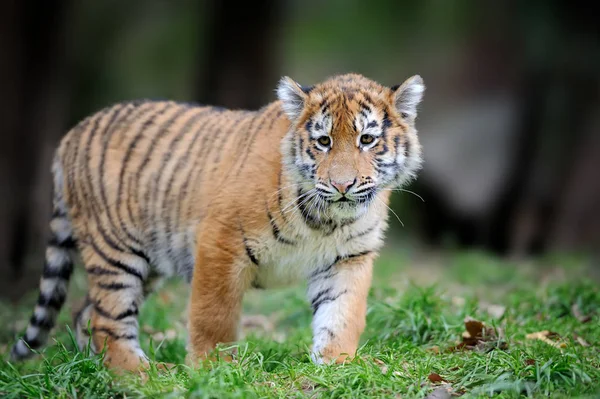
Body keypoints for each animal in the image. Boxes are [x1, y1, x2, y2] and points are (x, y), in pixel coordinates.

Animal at [9, 72, 422, 372]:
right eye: (323, 142)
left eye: (366, 139)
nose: (342, 185)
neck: (327, 220)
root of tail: (72, 133)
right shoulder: (220, 242)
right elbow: (213, 315)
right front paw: (212, 368)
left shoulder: (348, 259)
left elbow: (341, 314)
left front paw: (338, 363)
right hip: (115, 253)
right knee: (108, 321)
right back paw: (139, 373)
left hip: (147, 263)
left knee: (85, 314)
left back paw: (96, 369)